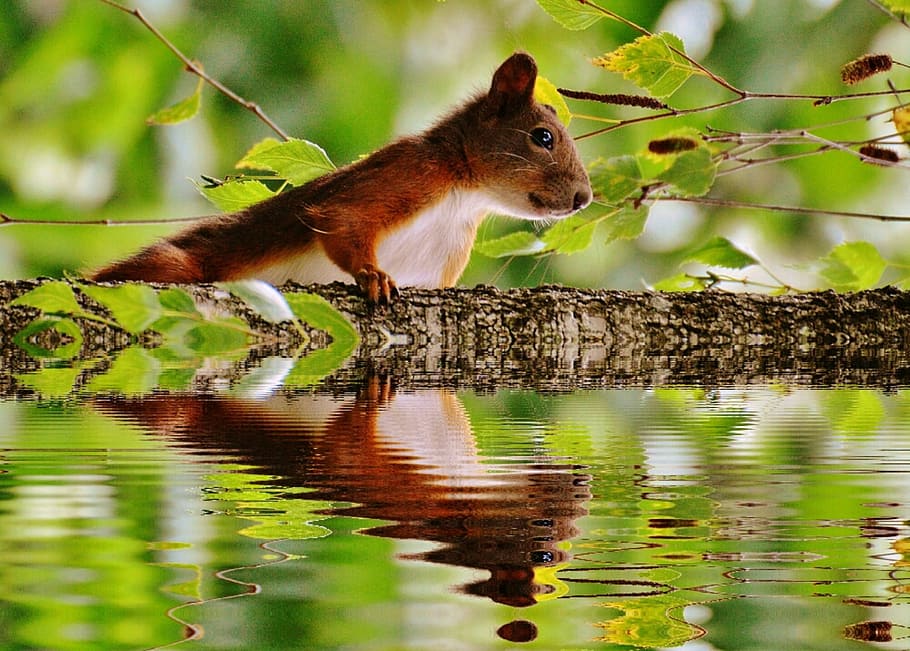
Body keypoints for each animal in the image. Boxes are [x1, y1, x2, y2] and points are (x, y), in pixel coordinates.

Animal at [90, 52, 593, 303]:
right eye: (543, 137)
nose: (583, 198)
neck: (463, 199)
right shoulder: (409, 172)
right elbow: (342, 217)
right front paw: (372, 276)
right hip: (177, 267)